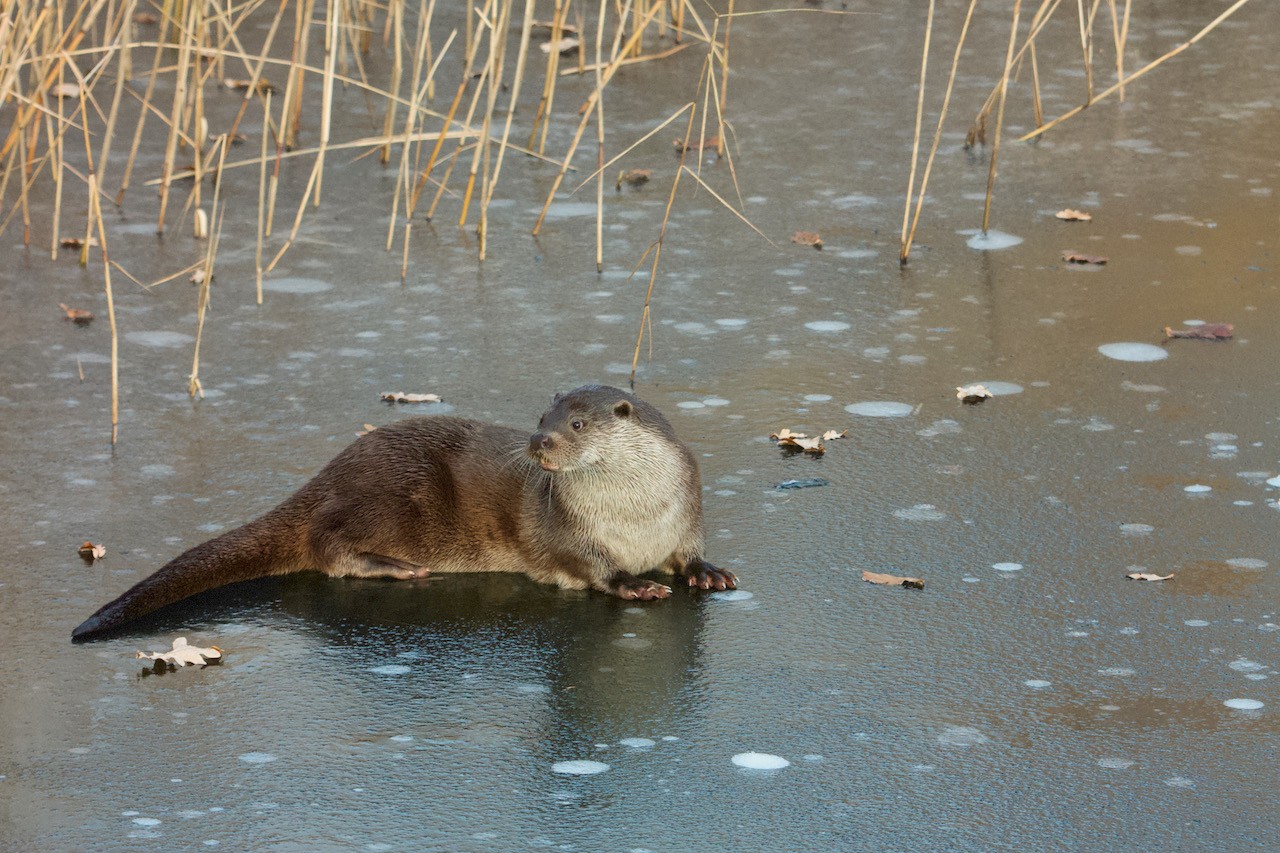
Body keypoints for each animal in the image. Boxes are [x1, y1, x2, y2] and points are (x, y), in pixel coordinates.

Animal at [71, 385, 737, 640]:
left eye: (574, 424)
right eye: (540, 418)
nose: (538, 442)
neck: (636, 515)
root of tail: (327, 474)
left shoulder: (686, 507)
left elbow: (690, 549)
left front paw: (708, 571)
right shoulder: (567, 532)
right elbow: (594, 567)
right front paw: (635, 583)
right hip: (391, 500)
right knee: (328, 547)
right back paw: (393, 568)